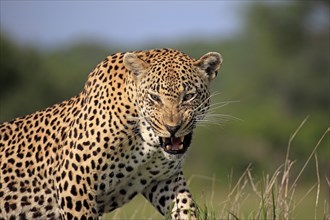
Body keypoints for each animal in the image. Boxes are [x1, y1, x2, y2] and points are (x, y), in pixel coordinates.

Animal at [0, 48, 223, 220]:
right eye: (154, 97)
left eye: (189, 96)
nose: (172, 127)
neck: (146, 141)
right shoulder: (74, 182)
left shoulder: (164, 180)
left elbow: (185, 208)